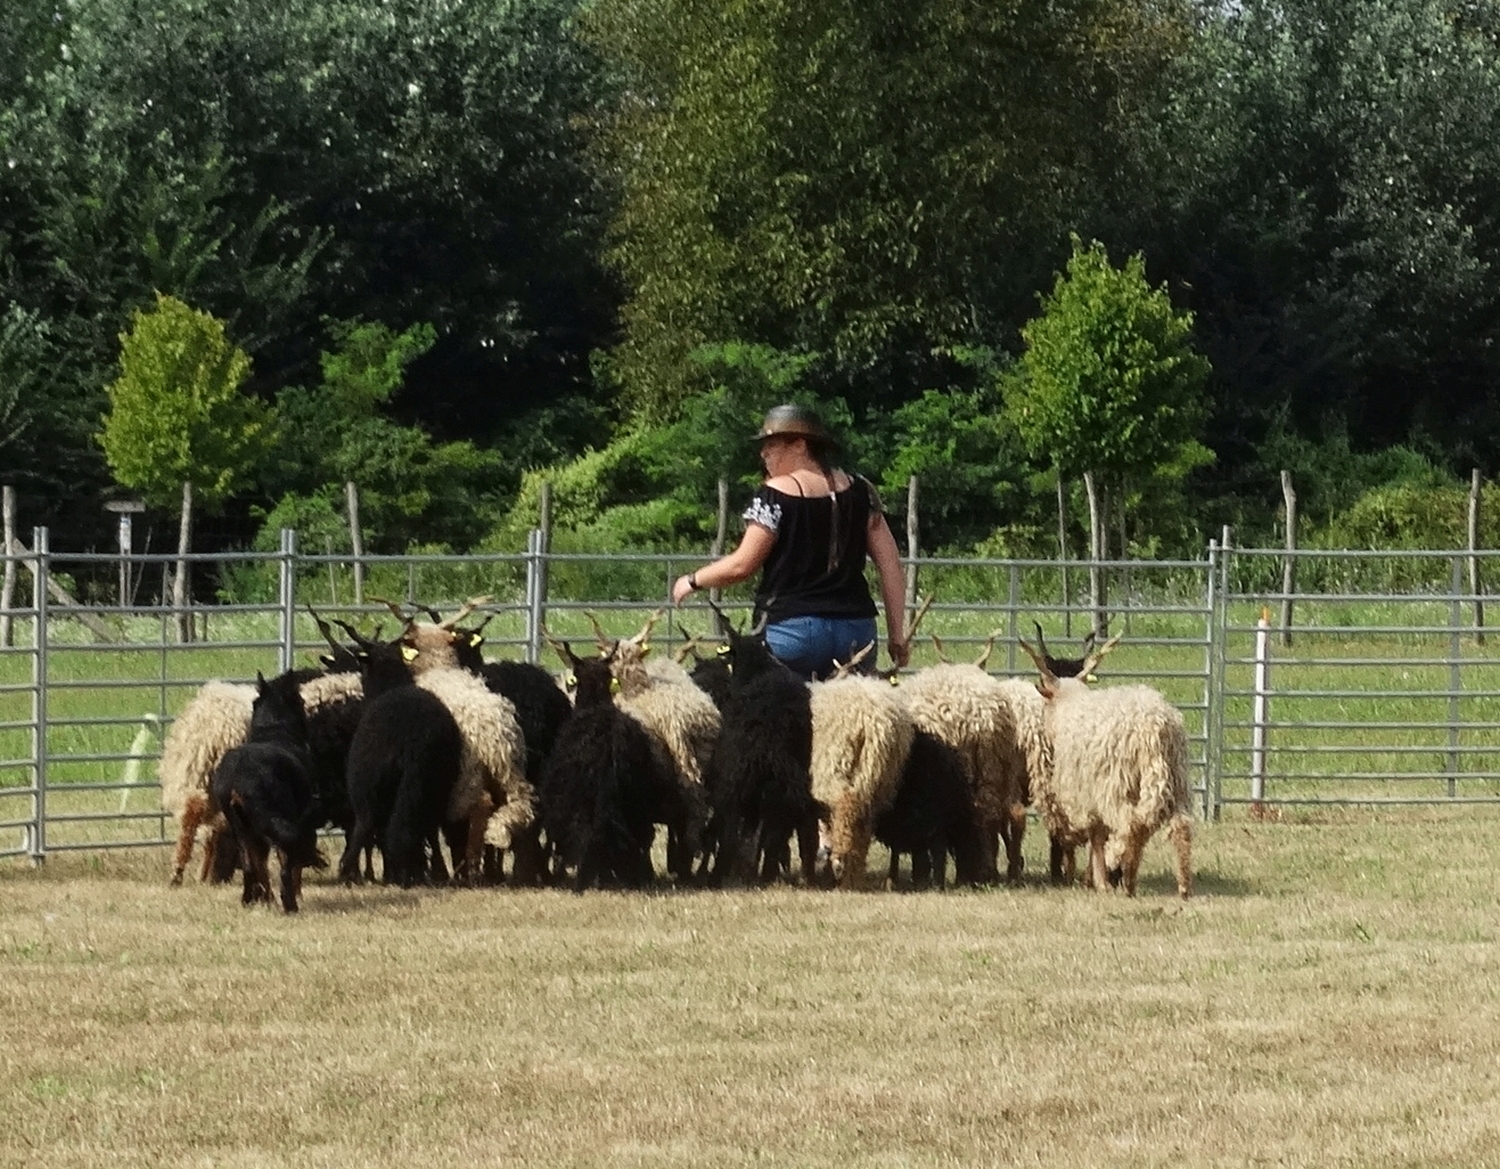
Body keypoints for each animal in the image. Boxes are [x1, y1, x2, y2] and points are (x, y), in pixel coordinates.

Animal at [211, 666, 325, 912]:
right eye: (301, 701)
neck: (273, 729)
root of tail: (239, 775)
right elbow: (293, 867)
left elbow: (260, 865)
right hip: (278, 819)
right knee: (285, 866)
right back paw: (290, 905)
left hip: (242, 828)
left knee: (250, 866)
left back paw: (251, 900)